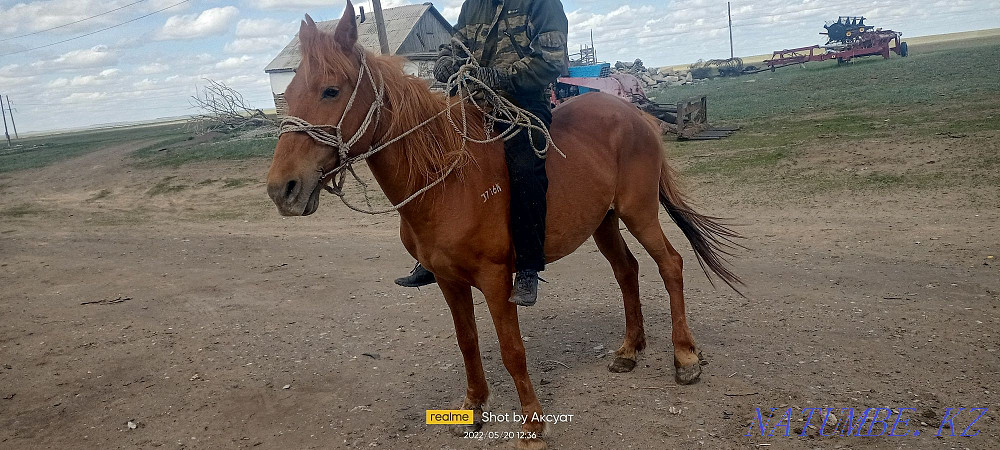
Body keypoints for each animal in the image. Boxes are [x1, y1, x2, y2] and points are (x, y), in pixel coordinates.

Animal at [268, 2, 744, 446]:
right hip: (604, 223)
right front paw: (473, 409)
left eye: (331, 90)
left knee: (671, 265)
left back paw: (685, 358)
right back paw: (629, 349)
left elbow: (512, 350)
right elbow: (468, 343)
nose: (282, 190)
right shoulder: (448, 280)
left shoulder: (497, 281)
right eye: (287, 92)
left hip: (638, 211)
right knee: (628, 271)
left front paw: (533, 426)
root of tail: (634, 114)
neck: (447, 181)